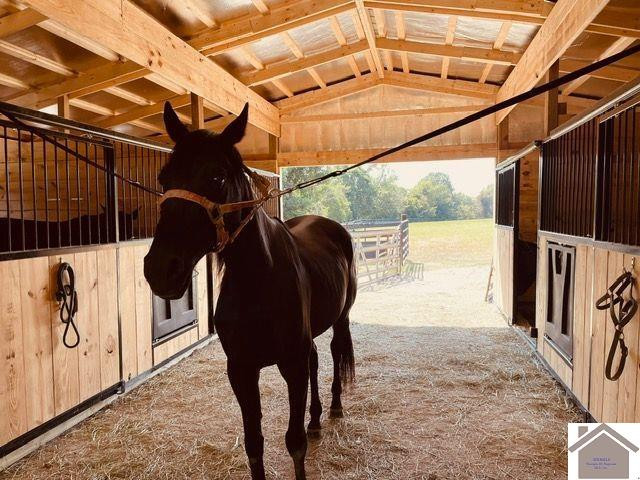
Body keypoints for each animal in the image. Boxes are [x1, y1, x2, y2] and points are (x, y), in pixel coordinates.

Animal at [143, 102, 357, 480]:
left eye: (217, 177)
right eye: (164, 179)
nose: (161, 270)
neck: (259, 280)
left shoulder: (291, 365)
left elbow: (294, 442)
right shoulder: (241, 369)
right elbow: (253, 443)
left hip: (340, 319)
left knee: (334, 352)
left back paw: (333, 408)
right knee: (317, 359)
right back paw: (316, 419)